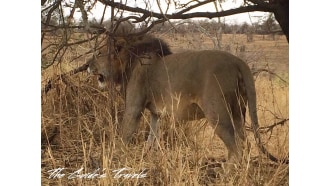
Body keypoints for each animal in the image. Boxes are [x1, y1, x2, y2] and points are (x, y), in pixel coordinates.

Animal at [87, 33, 286, 164]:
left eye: (99, 54)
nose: (88, 66)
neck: (129, 61)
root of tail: (238, 61)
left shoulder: (134, 108)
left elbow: (124, 135)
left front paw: (113, 157)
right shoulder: (156, 113)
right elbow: (152, 138)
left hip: (217, 113)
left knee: (236, 149)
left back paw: (226, 174)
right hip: (238, 110)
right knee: (244, 143)